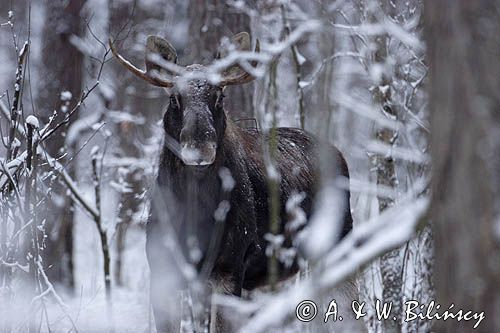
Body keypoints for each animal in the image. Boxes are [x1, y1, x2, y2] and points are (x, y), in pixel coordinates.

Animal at [109, 31, 352, 332]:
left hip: (337, 244)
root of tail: (339, 155)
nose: (199, 147)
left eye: (220, 96)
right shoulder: (163, 268)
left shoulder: (231, 266)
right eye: (174, 98)